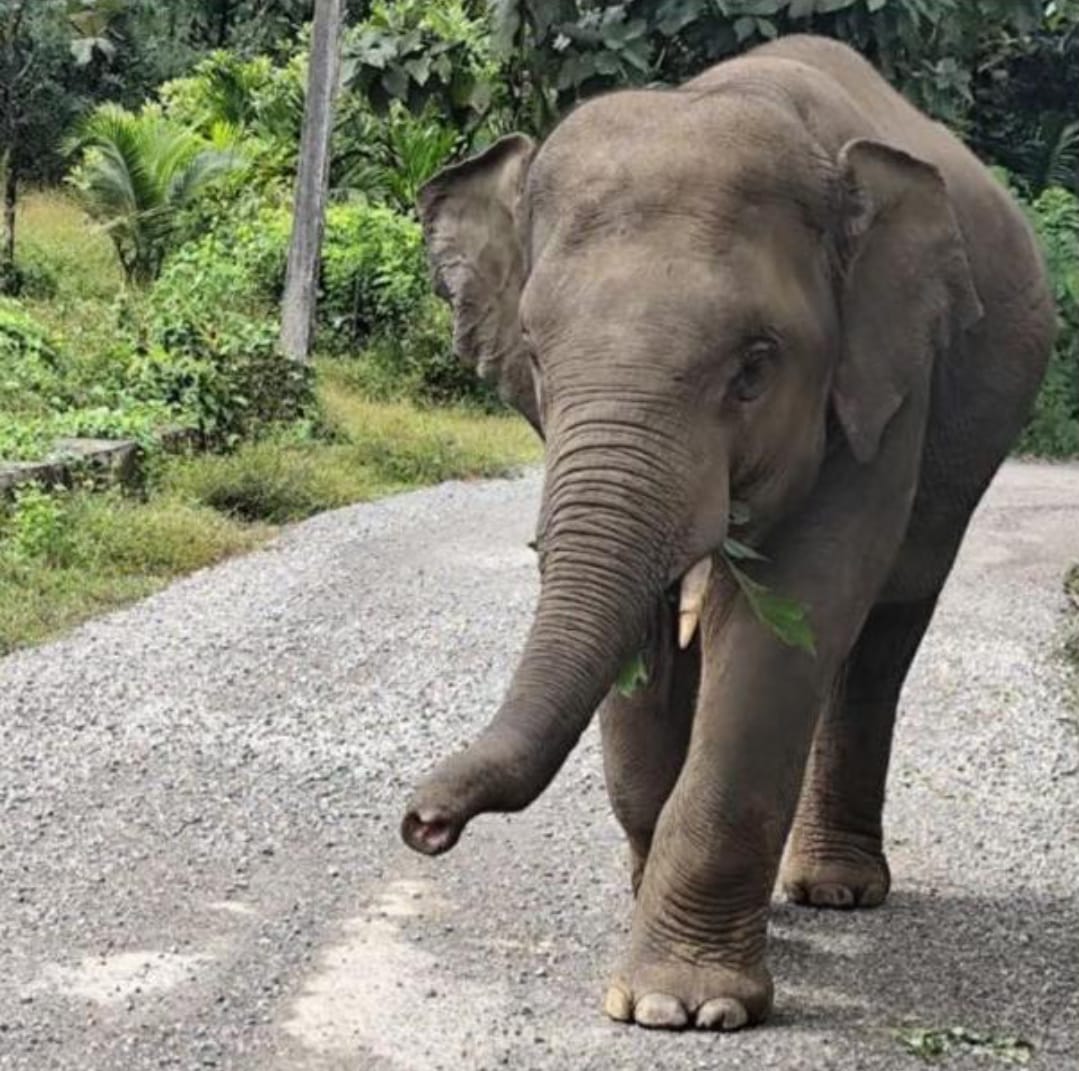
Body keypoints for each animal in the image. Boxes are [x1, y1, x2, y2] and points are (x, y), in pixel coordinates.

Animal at [399, 34, 1056, 1030]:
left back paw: (835, 892)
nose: (422, 823)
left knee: (883, 632)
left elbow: (798, 607)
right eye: (536, 358)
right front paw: (649, 938)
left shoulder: (884, 380)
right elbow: (644, 641)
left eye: (753, 368)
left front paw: (680, 1006)